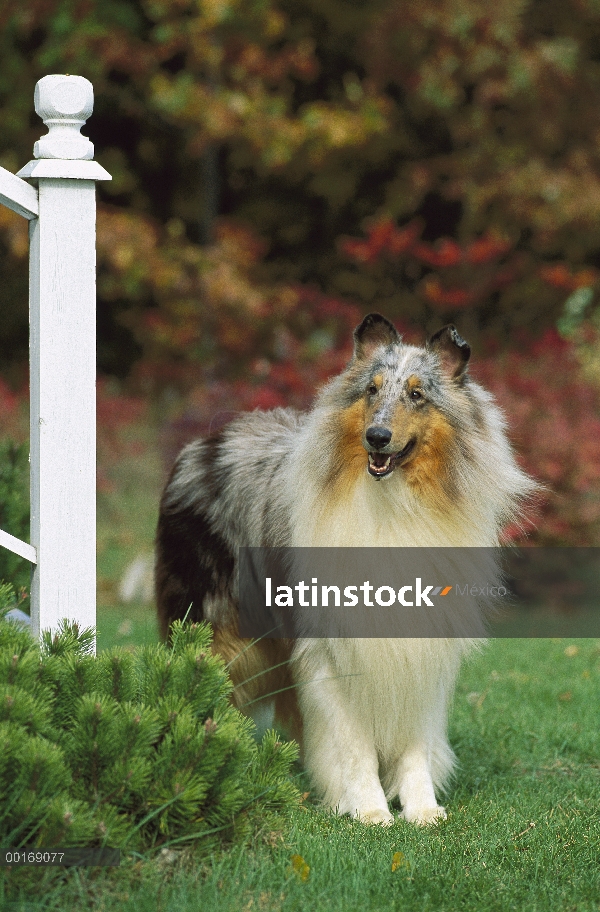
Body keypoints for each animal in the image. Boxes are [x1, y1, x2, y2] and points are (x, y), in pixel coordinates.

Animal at [156, 314, 536, 828]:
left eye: (417, 394)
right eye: (372, 390)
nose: (376, 437)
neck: (396, 505)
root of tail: (208, 439)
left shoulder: (421, 648)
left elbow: (414, 744)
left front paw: (422, 810)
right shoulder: (331, 649)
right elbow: (353, 744)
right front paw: (369, 810)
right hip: (211, 634)